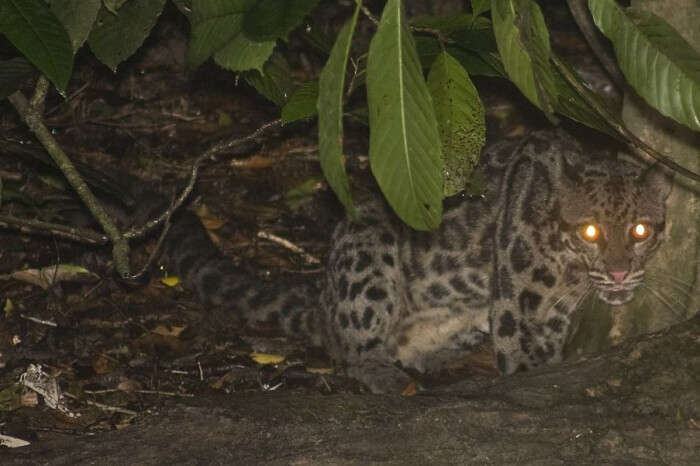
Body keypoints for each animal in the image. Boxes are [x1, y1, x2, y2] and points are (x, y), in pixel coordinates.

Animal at [157, 130, 672, 394]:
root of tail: (321, 297)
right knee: (352, 350)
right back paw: (384, 374)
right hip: (368, 252)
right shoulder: (517, 308)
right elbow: (524, 365)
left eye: (641, 231)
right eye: (590, 232)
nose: (620, 272)